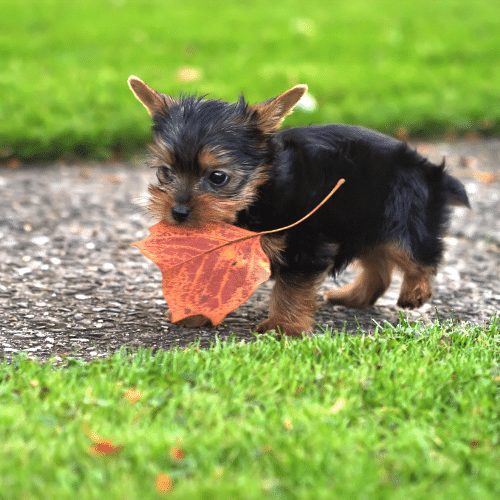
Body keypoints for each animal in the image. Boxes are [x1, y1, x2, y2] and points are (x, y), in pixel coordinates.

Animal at [128, 75, 468, 336]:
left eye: (218, 177)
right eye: (165, 172)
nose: (178, 212)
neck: (258, 193)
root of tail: (428, 169)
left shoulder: (305, 241)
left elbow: (292, 287)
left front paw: (282, 327)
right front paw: (195, 310)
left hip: (402, 213)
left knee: (416, 251)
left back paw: (415, 291)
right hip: (361, 218)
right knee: (379, 265)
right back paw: (353, 296)